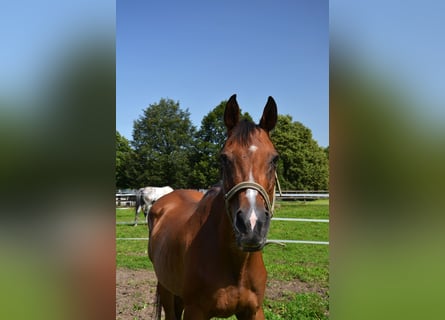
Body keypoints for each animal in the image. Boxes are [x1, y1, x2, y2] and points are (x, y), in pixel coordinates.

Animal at [149, 94, 278, 318]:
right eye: (224, 158)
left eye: (274, 159)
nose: (251, 225)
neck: (236, 264)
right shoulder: (196, 311)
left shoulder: (254, 311)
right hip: (166, 288)